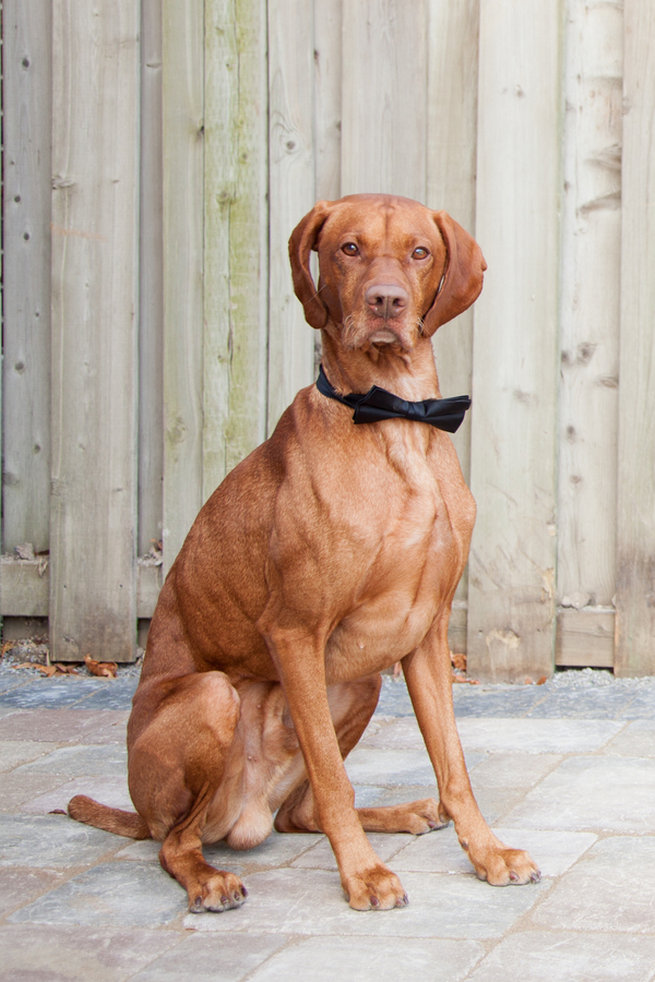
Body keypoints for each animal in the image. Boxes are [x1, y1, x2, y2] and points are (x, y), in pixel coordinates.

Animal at [69, 194, 540, 916]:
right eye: (348, 248)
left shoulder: (424, 633)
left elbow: (453, 765)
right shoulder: (294, 632)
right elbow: (330, 775)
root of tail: (242, 815)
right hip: (213, 700)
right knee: (177, 841)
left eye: (418, 251)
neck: (395, 419)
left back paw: (403, 812)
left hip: (362, 677)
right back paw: (209, 878)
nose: (385, 302)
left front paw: (486, 853)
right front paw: (363, 876)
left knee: (297, 814)